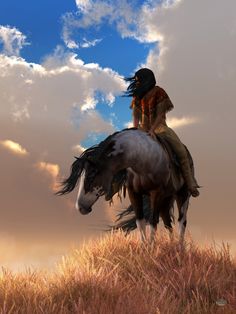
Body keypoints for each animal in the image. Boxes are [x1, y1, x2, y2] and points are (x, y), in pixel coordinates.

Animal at [57, 127, 192, 243]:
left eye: (92, 174)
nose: (80, 207)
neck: (144, 159)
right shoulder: (134, 193)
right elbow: (140, 222)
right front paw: (144, 249)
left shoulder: (156, 193)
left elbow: (153, 222)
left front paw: (151, 249)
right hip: (166, 198)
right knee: (167, 223)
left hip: (182, 194)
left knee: (181, 221)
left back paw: (180, 248)